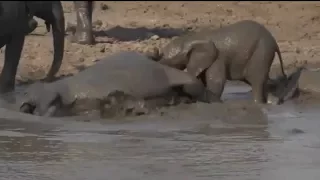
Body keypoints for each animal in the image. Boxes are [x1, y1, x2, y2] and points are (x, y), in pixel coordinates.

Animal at [155, 19, 288, 104]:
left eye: (165, 56)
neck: (192, 38)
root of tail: (274, 42)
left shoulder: (217, 58)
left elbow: (216, 82)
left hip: (261, 52)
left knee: (257, 83)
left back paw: (259, 104)